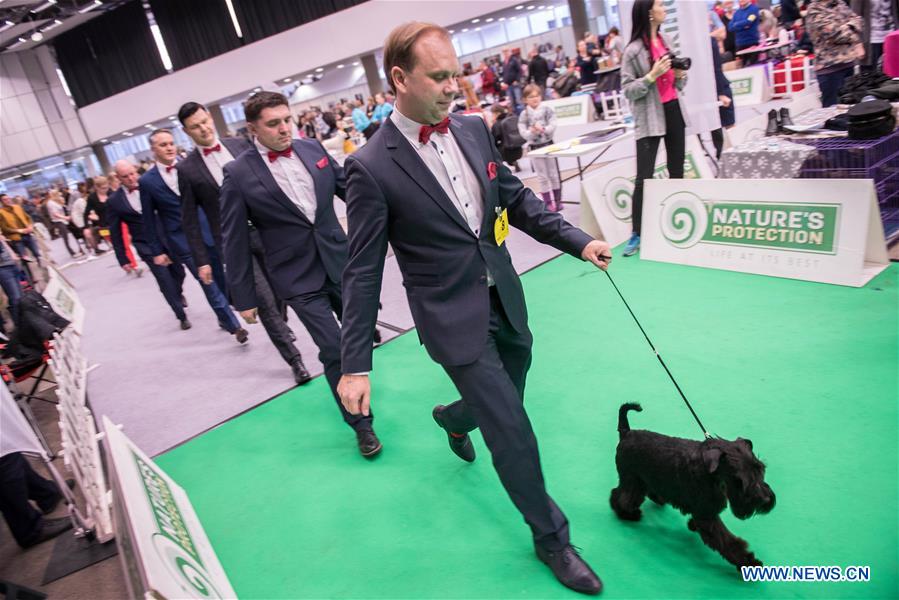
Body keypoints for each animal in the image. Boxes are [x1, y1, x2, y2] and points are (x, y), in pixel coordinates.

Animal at [612, 404, 772, 568]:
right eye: (738, 479)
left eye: (761, 468)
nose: (766, 500)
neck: (711, 473)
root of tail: (626, 433)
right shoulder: (707, 515)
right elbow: (728, 542)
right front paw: (749, 561)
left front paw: (692, 524)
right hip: (632, 480)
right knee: (621, 496)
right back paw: (627, 514)